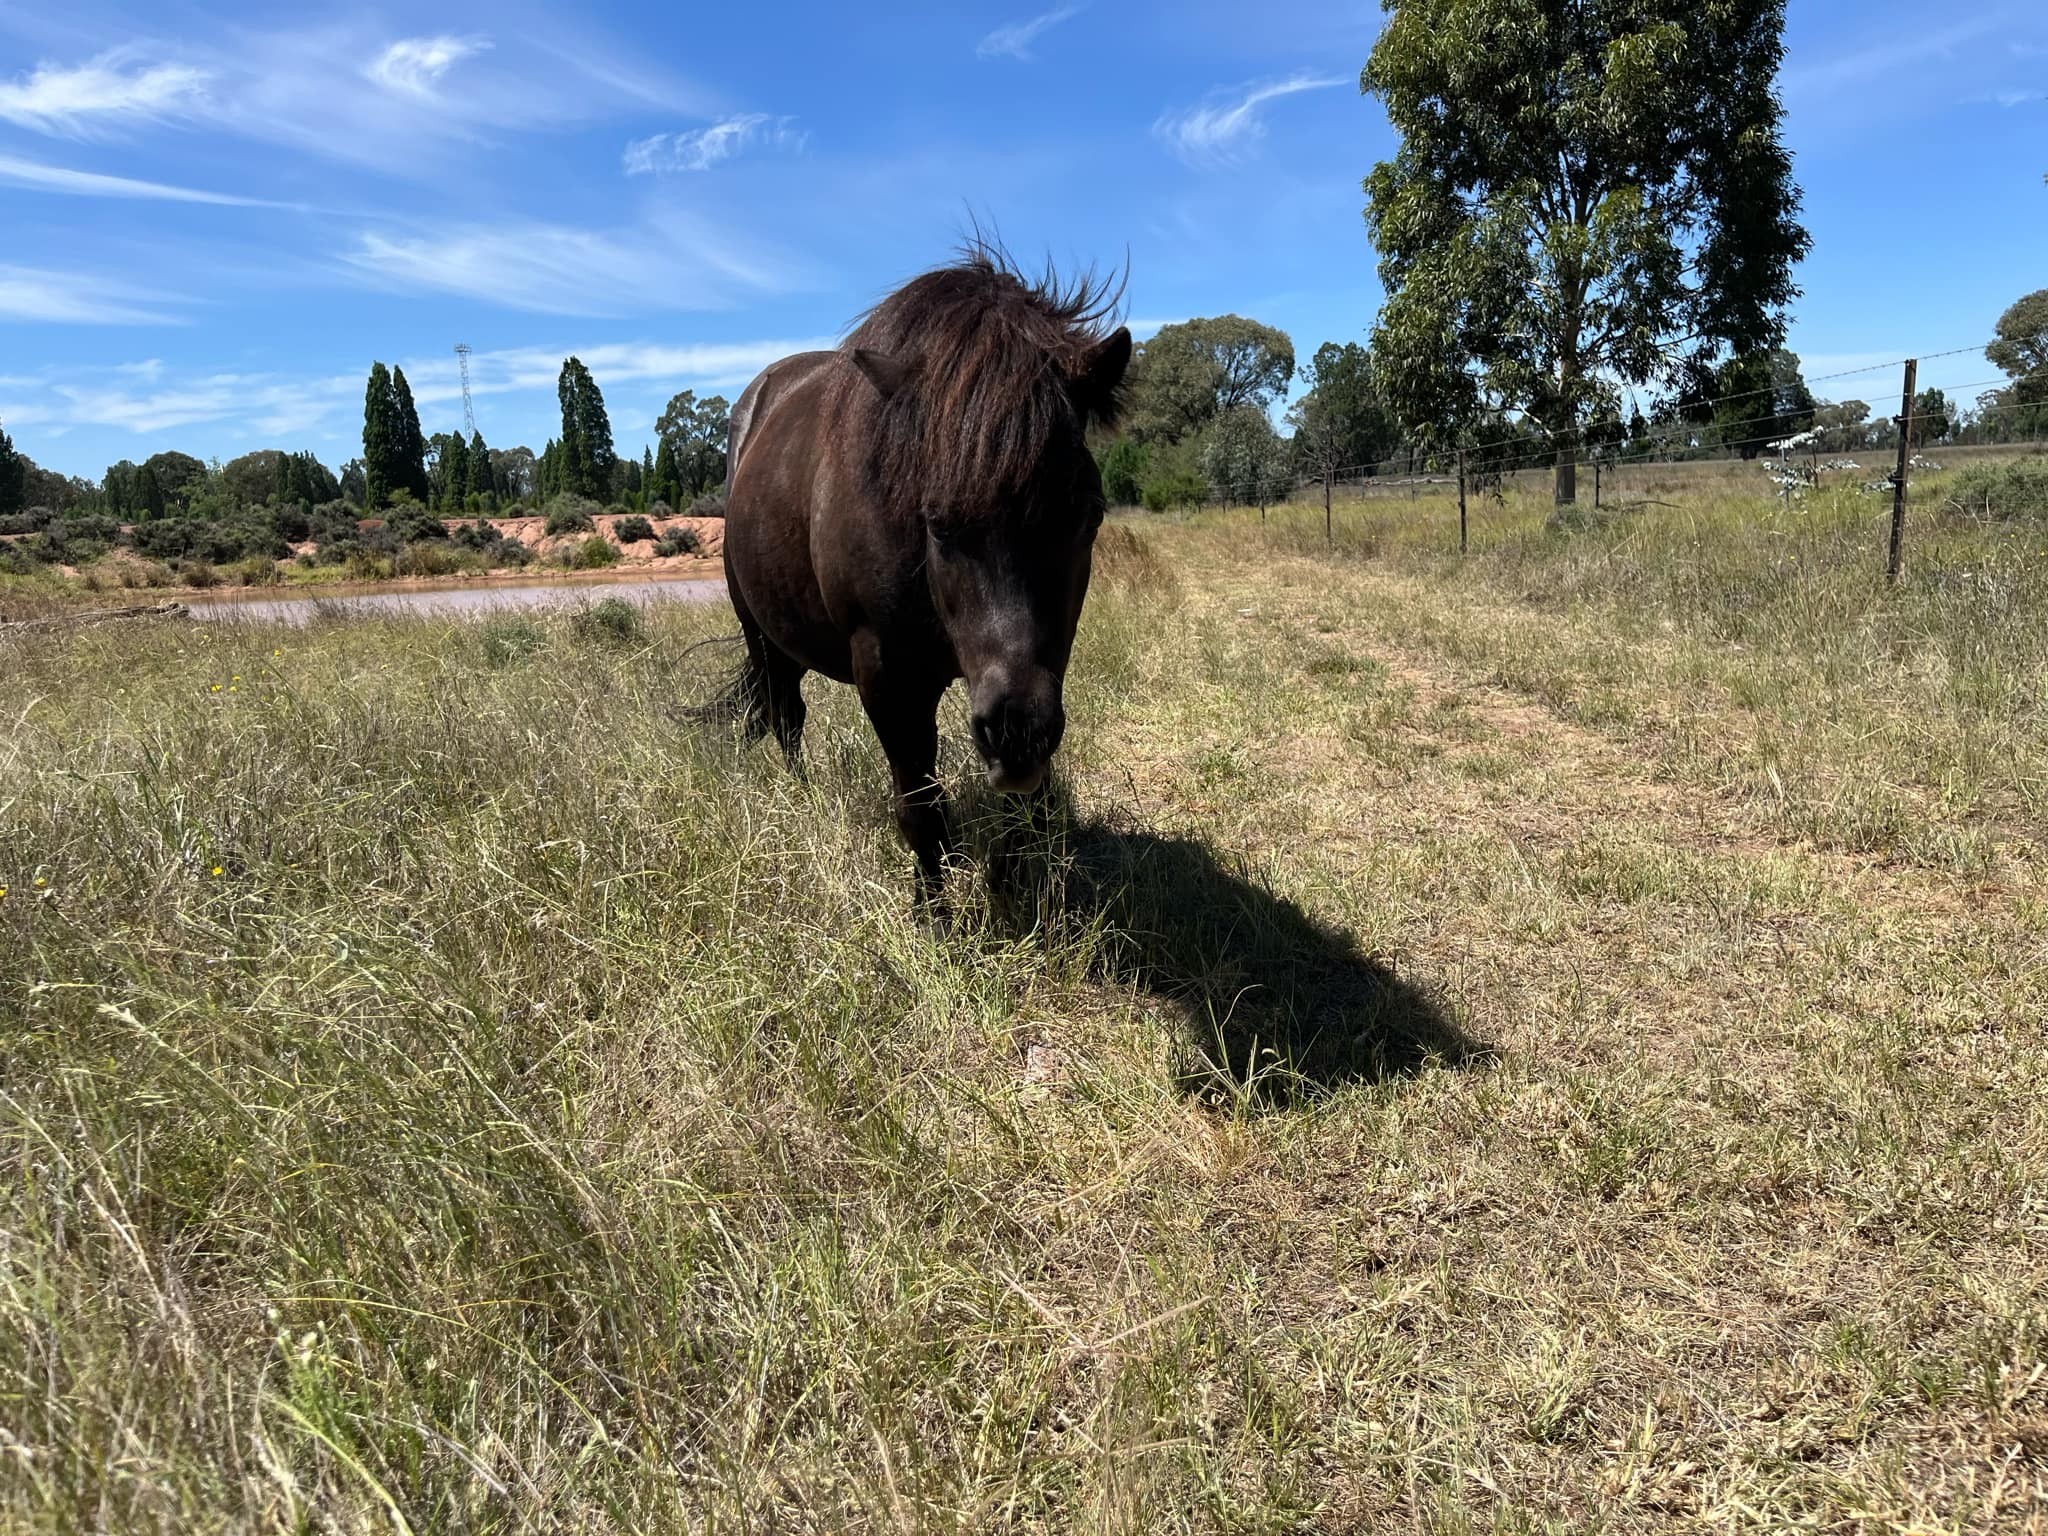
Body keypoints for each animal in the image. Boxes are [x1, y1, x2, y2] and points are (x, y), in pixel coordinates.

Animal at [707, 244, 1133, 904]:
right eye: (936, 522)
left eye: (1089, 515)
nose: (1017, 734)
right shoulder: (887, 674)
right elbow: (919, 808)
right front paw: (935, 913)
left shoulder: (1045, 665)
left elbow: (1021, 814)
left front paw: (1016, 891)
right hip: (762, 634)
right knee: (785, 716)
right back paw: (803, 799)